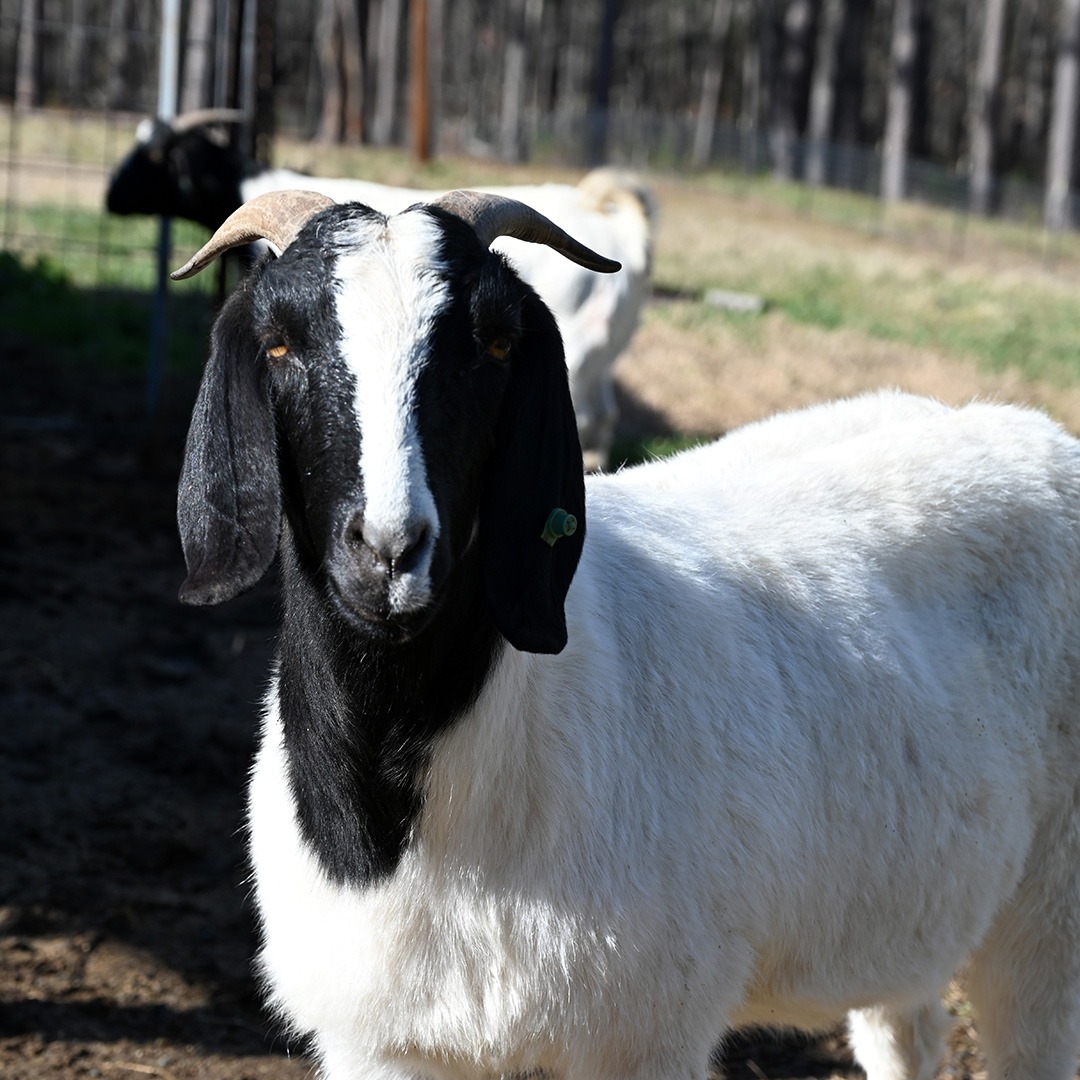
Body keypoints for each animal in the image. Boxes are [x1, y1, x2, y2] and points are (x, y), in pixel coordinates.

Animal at [109, 111, 652, 466]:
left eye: (151, 156)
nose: (111, 198)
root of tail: (624, 236)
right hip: (606, 350)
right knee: (605, 418)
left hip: (580, 347)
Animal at [172, 190, 1080, 1080]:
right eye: (279, 343)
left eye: (497, 343)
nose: (392, 551)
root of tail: (1028, 430)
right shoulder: (384, 1043)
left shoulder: (644, 1030)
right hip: (911, 904)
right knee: (908, 1033)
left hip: (1049, 912)